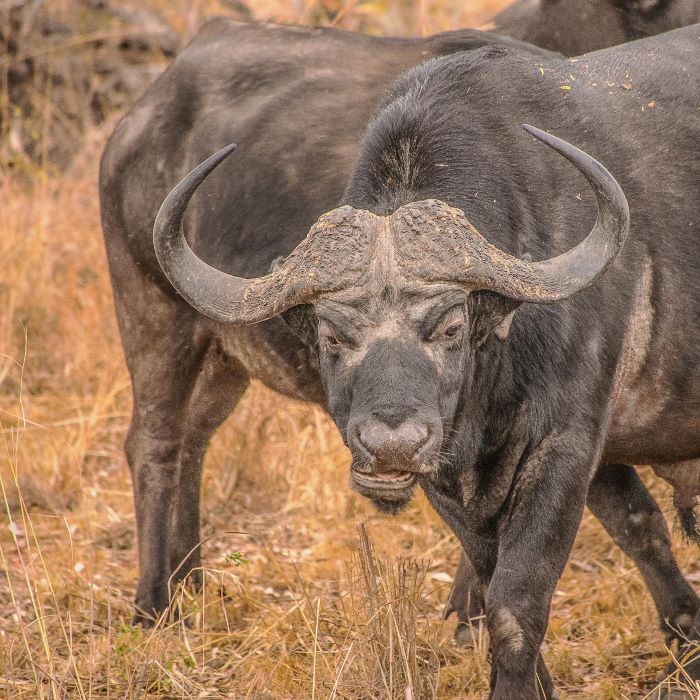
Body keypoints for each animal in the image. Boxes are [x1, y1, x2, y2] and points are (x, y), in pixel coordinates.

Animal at [98, 0, 698, 639]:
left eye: (452, 329)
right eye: (330, 336)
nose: (390, 443)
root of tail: (140, 118)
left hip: (223, 355)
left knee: (195, 438)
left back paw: (191, 581)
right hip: (155, 315)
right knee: (154, 442)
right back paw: (153, 601)